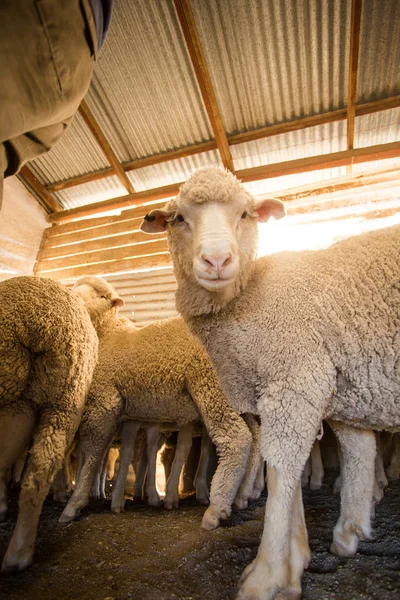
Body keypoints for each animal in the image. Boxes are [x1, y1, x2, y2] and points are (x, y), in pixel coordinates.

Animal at [58, 276, 260, 528]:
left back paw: (216, 509)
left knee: (237, 439)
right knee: (256, 440)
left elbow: (93, 452)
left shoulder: (105, 400)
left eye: (101, 296)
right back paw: (241, 497)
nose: (73, 298)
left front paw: (75, 503)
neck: (106, 334)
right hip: (238, 399)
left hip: (212, 388)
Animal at [141, 168, 400, 600]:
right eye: (177, 218)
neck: (248, 299)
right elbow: (291, 467)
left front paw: (267, 574)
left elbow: (281, 468)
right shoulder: (280, 389)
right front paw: (297, 556)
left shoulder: (295, 378)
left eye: (245, 214)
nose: (216, 260)